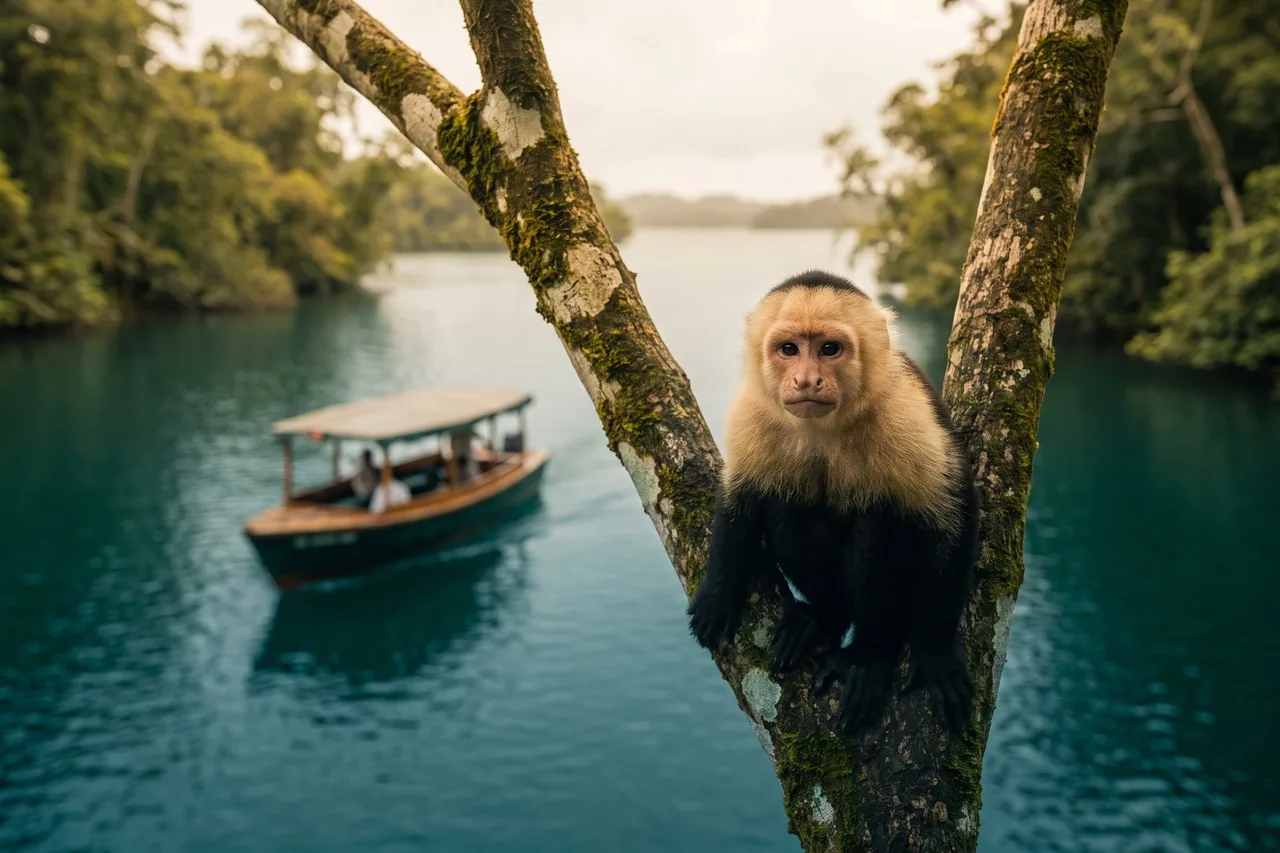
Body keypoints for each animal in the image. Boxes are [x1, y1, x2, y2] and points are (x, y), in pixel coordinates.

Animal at [686, 270, 978, 736]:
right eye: (789, 349)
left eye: (829, 349)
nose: (806, 380)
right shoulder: (752, 410)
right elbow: (741, 497)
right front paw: (719, 589)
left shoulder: (906, 409)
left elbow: (949, 515)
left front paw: (935, 653)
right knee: (783, 500)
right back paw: (824, 618)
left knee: (880, 518)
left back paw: (870, 654)